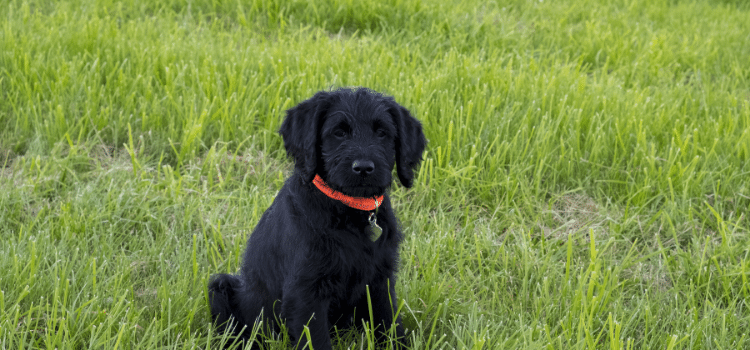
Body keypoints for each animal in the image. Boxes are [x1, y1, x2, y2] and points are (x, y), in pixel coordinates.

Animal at [209, 88, 426, 350]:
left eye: (382, 133)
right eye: (339, 132)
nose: (364, 168)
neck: (347, 210)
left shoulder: (379, 281)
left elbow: (389, 323)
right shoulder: (305, 292)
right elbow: (317, 339)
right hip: (222, 288)